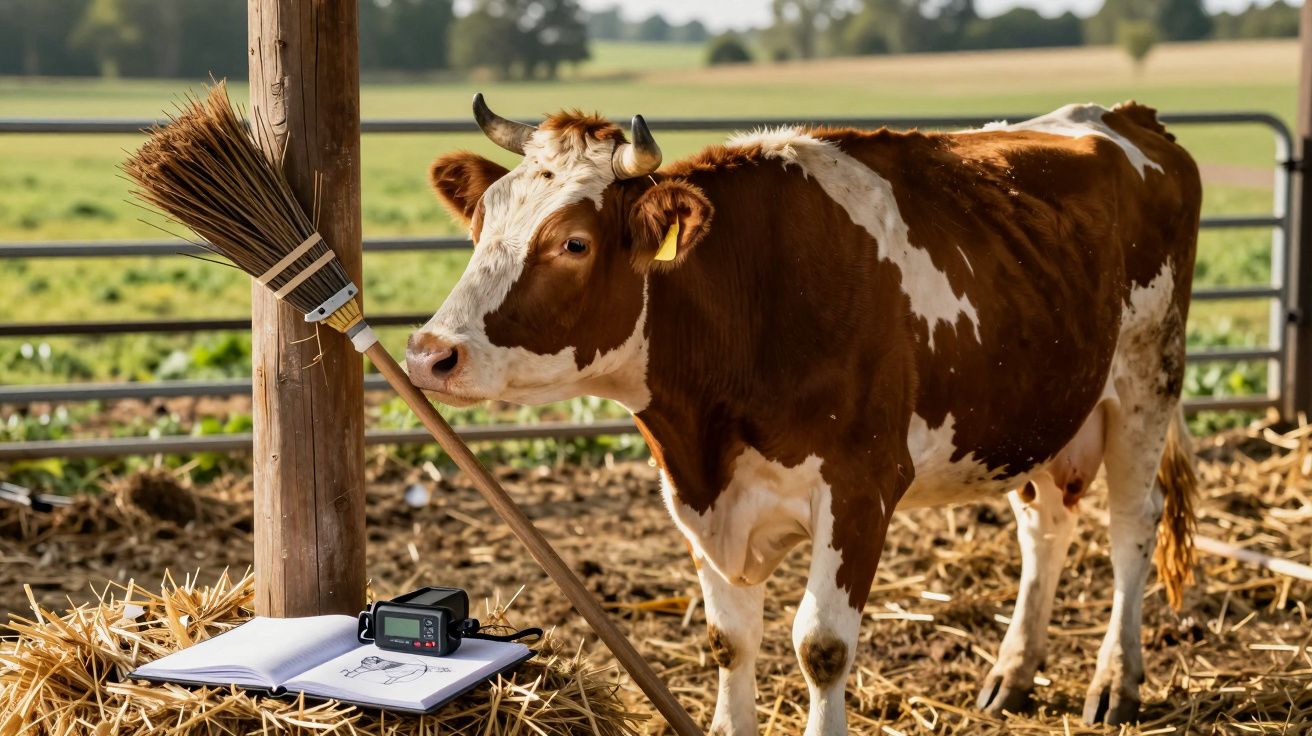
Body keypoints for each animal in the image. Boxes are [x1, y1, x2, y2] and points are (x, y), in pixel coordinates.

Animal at [407, 94, 1202, 735]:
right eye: (480, 223)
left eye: (574, 242)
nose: (428, 353)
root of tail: (1122, 116)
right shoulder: (697, 498)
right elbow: (729, 641)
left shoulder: (860, 487)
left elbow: (821, 645)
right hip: (1040, 414)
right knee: (1046, 525)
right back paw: (1011, 673)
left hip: (1146, 377)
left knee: (1131, 524)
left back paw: (1117, 682)